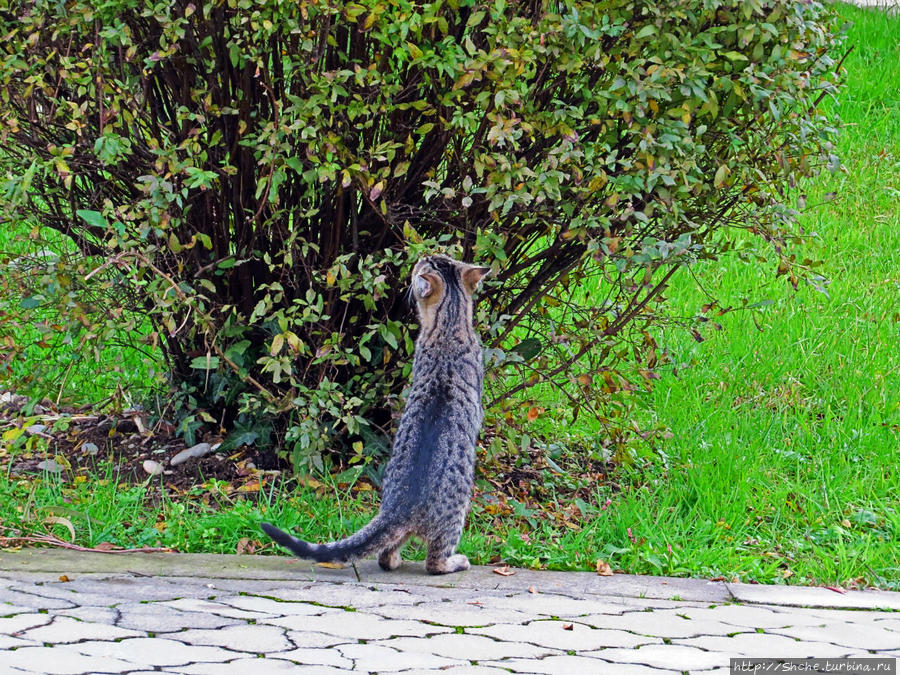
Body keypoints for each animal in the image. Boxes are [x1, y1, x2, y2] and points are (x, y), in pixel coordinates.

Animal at [260, 254, 488, 576]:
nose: (421, 257)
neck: (449, 328)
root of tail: (398, 509)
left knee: (385, 554)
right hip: (455, 517)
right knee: (434, 562)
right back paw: (456, 562)